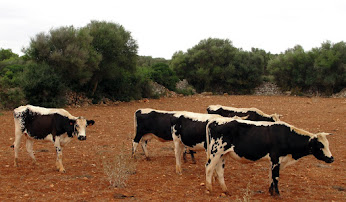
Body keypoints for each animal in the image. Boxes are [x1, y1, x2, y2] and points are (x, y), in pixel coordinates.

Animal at [204, 118, 334, 196]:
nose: (331, 158)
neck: (287, 136)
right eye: (320, 146)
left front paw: (271, 192)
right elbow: (275, 177)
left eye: (328, 144)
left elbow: (271, 176)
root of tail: (215, 121)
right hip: (216, 152)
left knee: (219, 171)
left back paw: (225, 190)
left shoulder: (275, 161)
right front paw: (277, 194)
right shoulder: (276, 159)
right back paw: (209, 188)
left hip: (222, 155)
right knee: (209, 168)